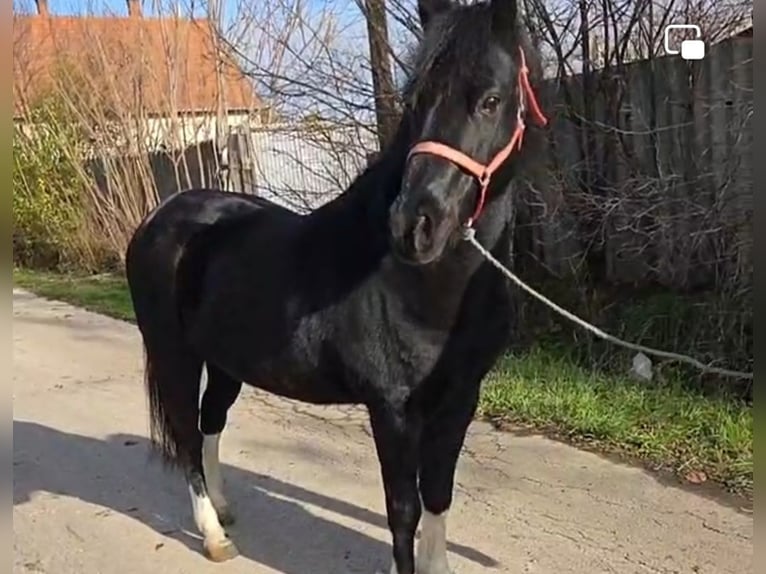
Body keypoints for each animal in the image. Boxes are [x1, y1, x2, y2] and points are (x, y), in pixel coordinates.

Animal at [125, 1, 547, 572]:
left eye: (490, 100)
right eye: (415, 100)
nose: (414, 225)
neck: (420, 287)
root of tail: (159, 217)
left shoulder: (460, 399)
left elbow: (438, 496)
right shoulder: (392, 408)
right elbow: (403, 510)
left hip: (227, 362)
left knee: (210, 423)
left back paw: (225, 509)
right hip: (175, 356)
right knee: (188, 436)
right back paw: (213, 536)